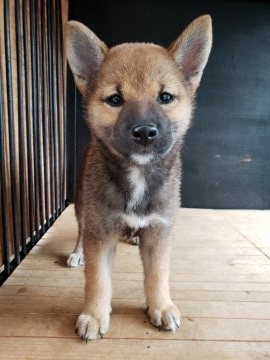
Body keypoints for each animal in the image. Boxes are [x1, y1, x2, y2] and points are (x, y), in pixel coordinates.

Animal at [65, 15, 211, 342]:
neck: (138, 175)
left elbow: (158, 276)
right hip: (82, 206)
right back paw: (77, 254)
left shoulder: (159, 232)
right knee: (80, 231)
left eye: (165, 97)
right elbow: (98, 280)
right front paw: (94, 315)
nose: (144, 132)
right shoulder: (101, 232)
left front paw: (162, 307)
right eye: (115, 99)